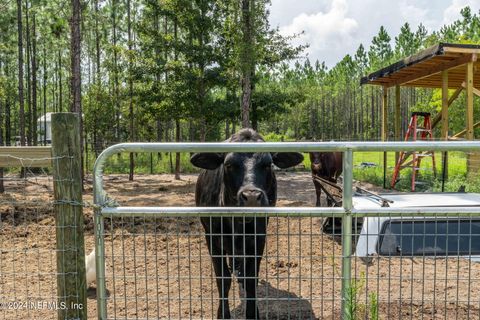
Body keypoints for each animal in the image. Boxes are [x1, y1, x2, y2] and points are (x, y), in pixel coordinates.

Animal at [189, 129, 302, 318]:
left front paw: (252, 312)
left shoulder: (258, 237)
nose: (251, 197)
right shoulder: (211, 237)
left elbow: (251, 280)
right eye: (228, 165)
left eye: (268, 164)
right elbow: (223, 278)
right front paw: (223, 314)